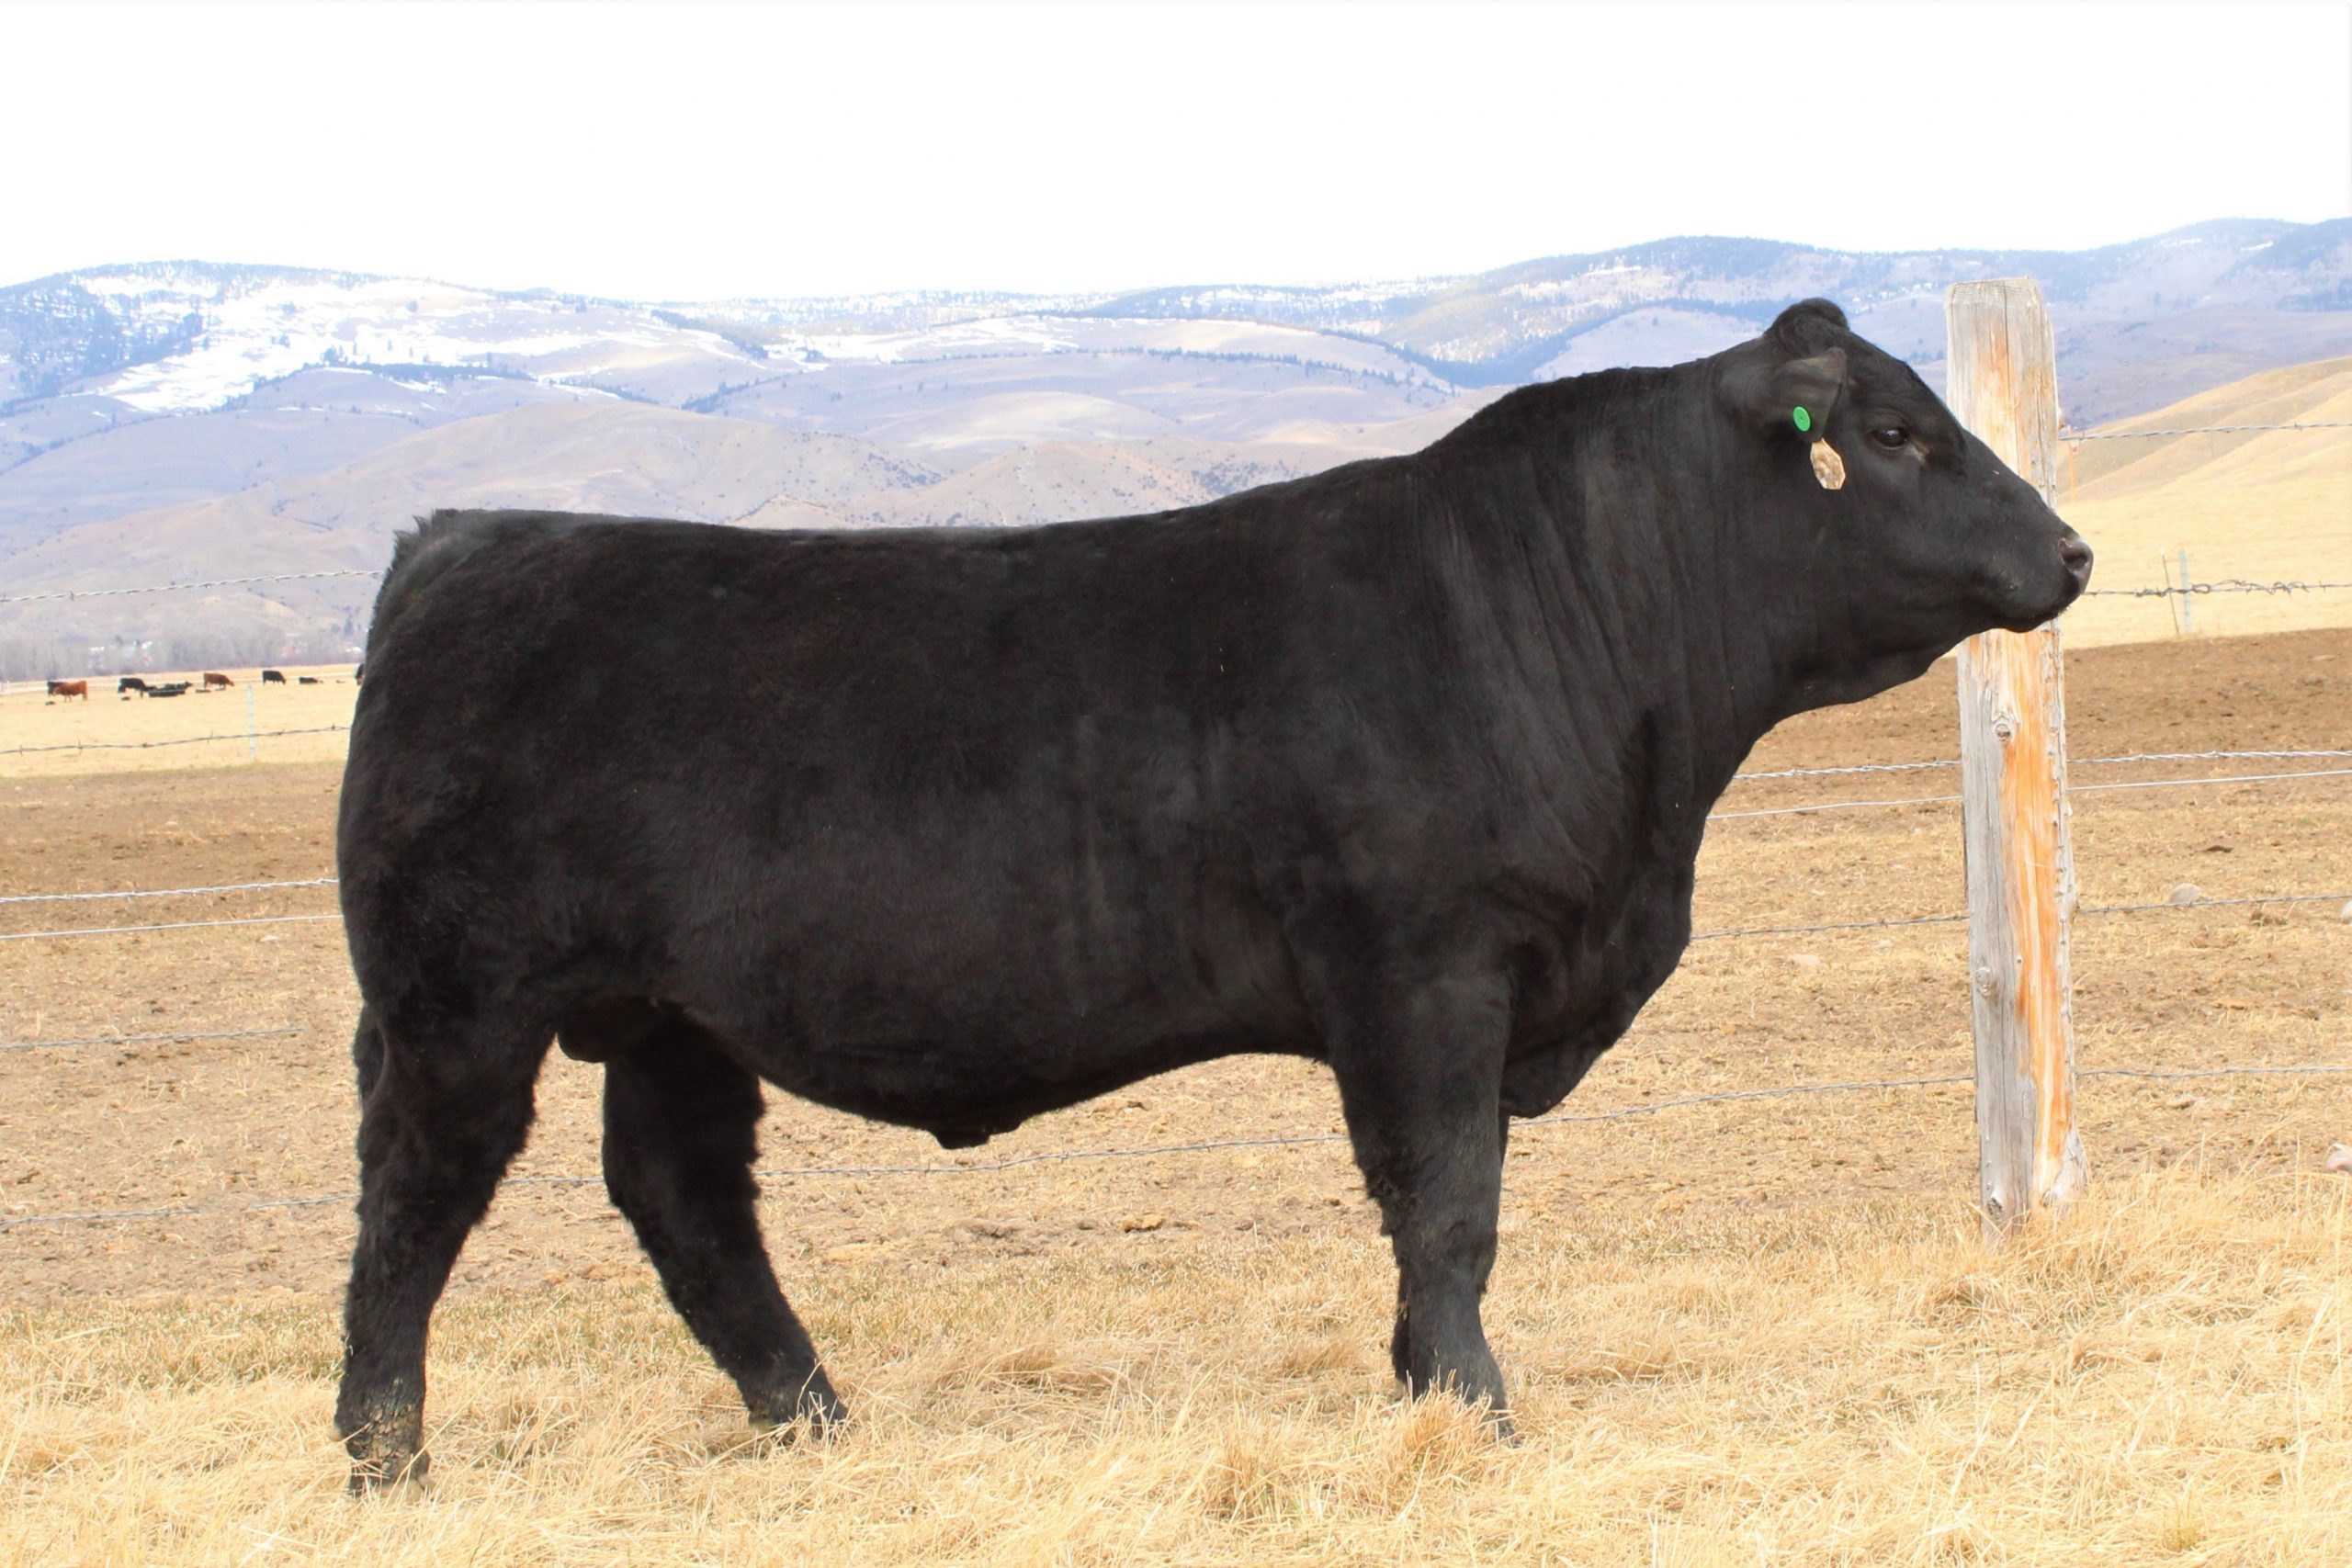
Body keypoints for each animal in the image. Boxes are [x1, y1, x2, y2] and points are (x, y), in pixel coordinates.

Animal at [331, 300, 2091, 1488]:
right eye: (1894, 436)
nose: (2072, 554)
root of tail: (463, 539)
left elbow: (1441, 1205)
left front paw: (1421, 1384)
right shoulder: (1425, 969)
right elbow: (1449, 1199)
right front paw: (1476, 1408)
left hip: (669, 1016)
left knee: (686, 1200)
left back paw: (815, 1420)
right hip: (456, 997)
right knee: (416, 1199)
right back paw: (384, 1455)